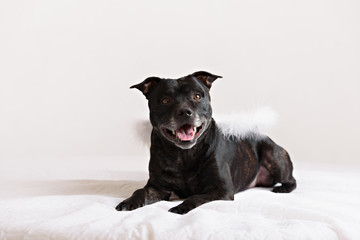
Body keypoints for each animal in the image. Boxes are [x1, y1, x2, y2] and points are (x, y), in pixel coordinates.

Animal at [116, 71, 296, 214]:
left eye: (197, 96)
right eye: (165, 100)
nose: (184, 111)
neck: (183, 154)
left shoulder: (221, 189)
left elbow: (196, 197)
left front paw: (181, 206)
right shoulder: (158, 187)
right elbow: (140, 191)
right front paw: (128, 202)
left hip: (274, 156)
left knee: (291, 179)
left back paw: (283, 188)